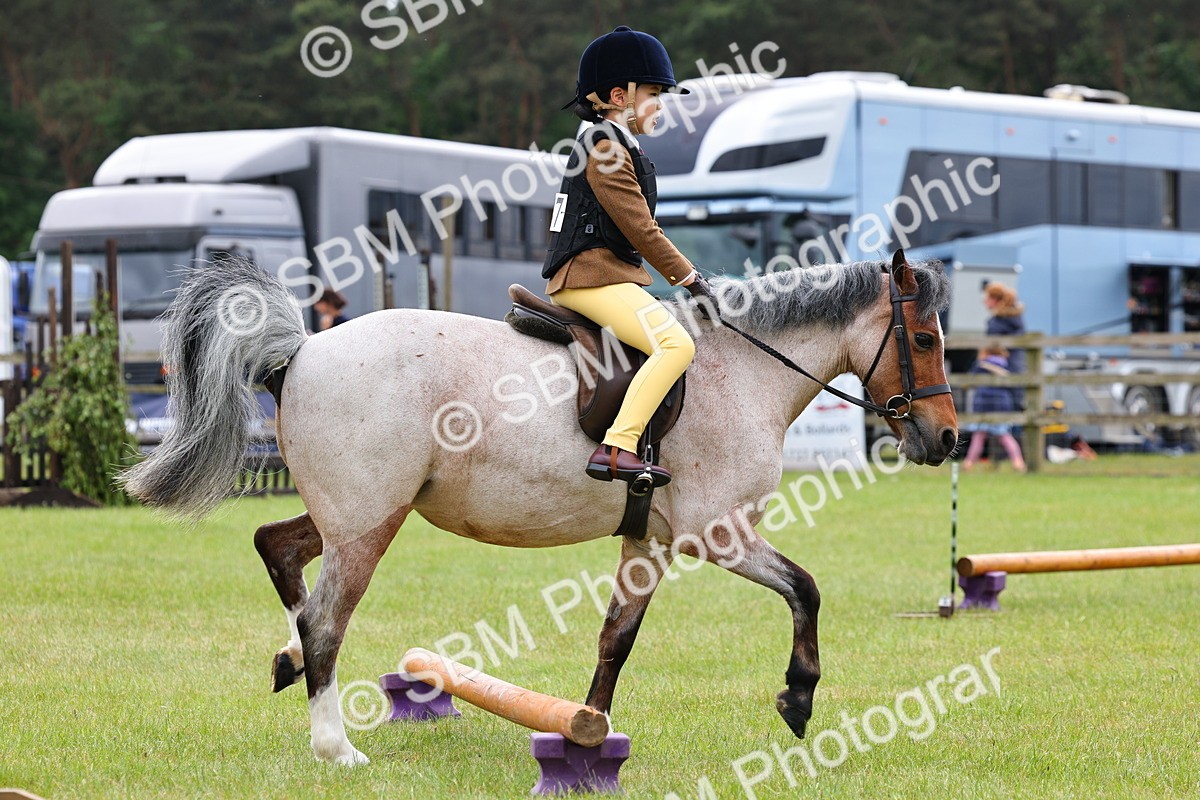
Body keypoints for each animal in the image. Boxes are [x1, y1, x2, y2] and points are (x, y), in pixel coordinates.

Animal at [120, 250, 957, 766]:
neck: (743, 369)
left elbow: (616, 639)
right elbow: (806, 589)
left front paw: (588, 738)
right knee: (326, 619)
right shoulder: (716, 533)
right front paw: (799, 697)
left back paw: (289, 660)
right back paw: (335, 747)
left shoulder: (651, 542)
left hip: (360, 513)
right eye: (922, 338)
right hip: (367, 524)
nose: (945, 438)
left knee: (279, 547)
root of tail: (301, 350)